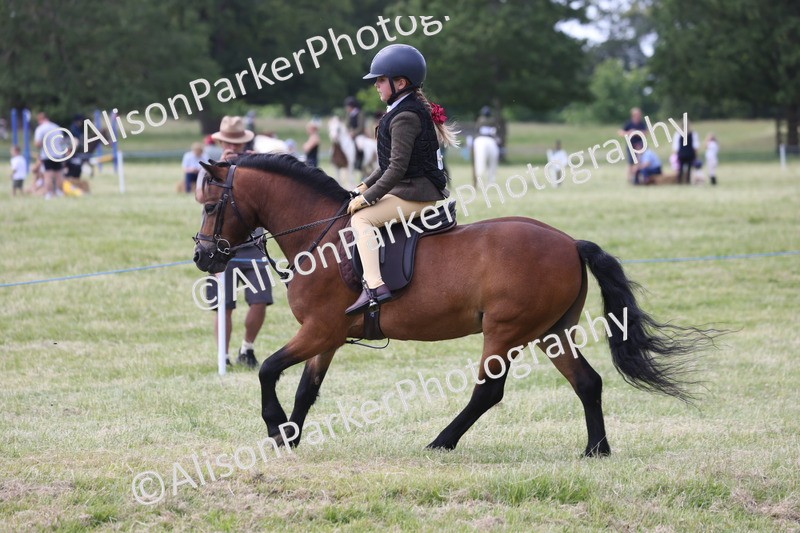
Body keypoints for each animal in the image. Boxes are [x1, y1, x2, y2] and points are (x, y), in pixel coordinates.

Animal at [193, 153, 713, 456]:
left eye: (210, 205)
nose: (203, 256)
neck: (321, 236)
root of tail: (568, 242)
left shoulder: (320, 330)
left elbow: (268, 370)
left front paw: (275, 428)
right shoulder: (328, 337)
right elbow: (306, 389)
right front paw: (290, 437)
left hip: (504, 332)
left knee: (488, 392)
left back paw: (441, 442)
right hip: (551, 332)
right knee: (588, 382)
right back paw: (596, 450)